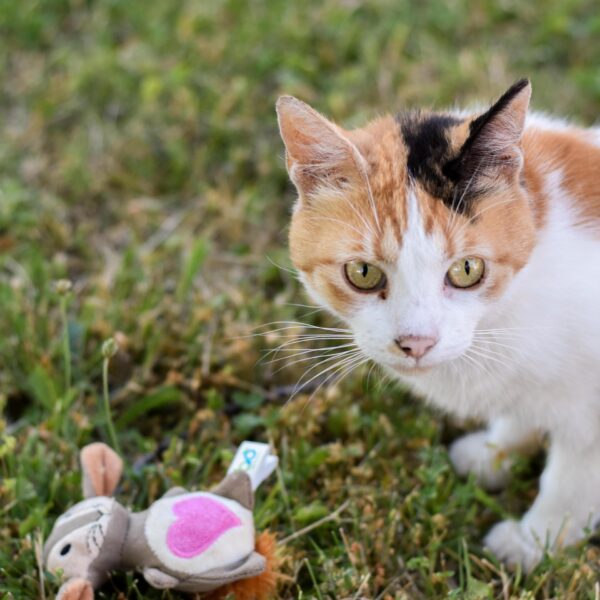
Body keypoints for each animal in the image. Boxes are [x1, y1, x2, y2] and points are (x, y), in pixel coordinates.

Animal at [278, 81, 600, 572]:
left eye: (468, 270)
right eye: (363, 273)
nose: (416, 342)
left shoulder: (589, 417)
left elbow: (570, 482)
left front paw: (534, 542)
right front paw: (495, 455)